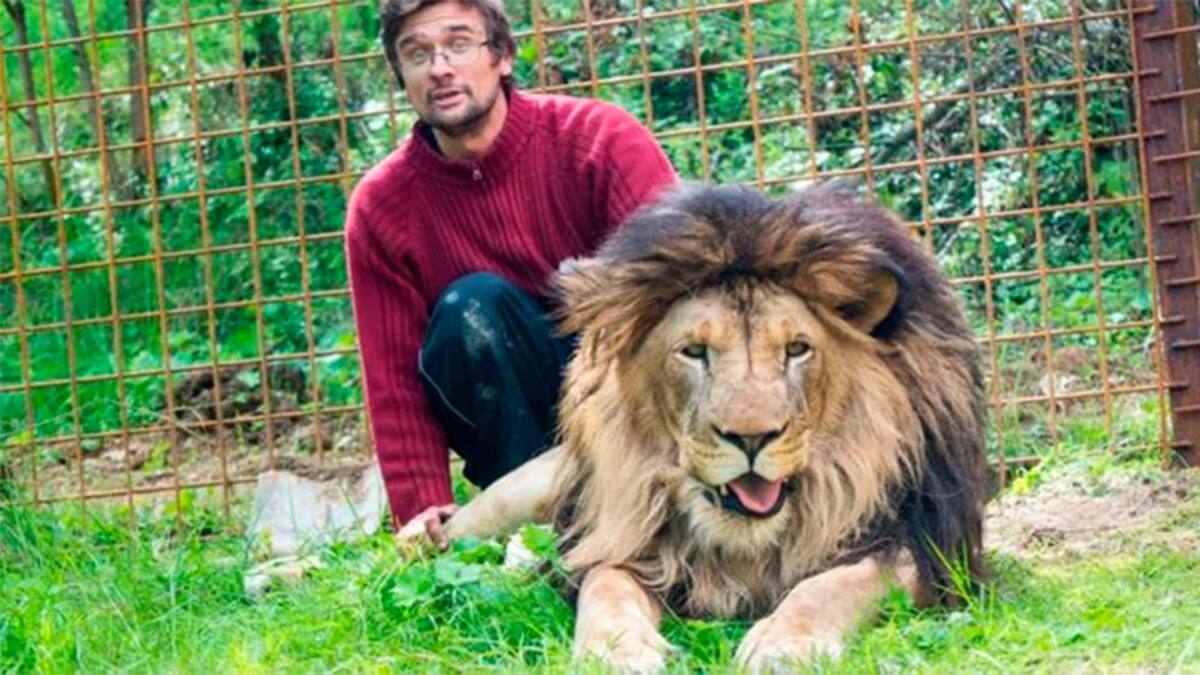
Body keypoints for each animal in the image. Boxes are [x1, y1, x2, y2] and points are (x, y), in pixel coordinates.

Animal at [443, 182, 987, 671]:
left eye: (797, 349)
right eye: (694, 351)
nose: (751, 437)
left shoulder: (926, 547)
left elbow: (834, 584)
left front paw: (783, 645)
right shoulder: (620, 537)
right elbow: (605, 583)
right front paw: (617, 651)